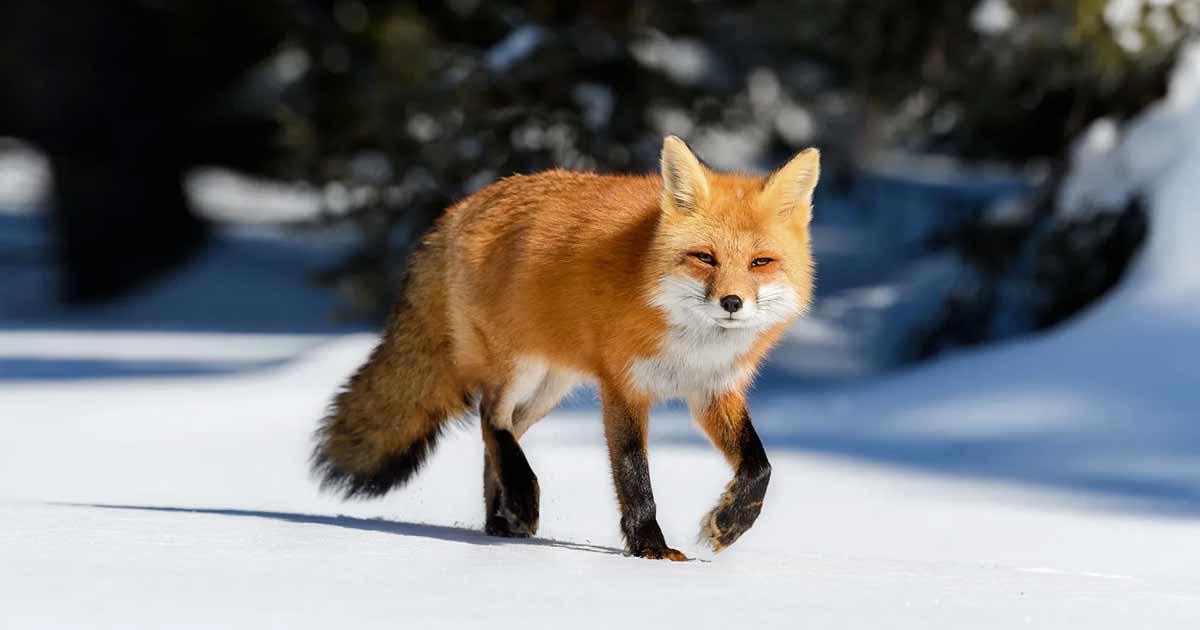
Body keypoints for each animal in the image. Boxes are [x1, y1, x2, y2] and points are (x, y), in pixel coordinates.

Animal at [311, 135, 818, 560]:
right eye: (704, 258)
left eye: (760, 263)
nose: (731, 302)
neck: (691, 344)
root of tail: (463, 206)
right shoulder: (622, 386)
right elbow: (634, 476)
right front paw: (650, 550)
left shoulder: (713, 391)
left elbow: (760, 467)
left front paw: (728, 523)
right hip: (518, 369)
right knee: (490, 418)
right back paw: (521, 498)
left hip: (549, 389)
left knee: (497, 439)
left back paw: (501, 522)